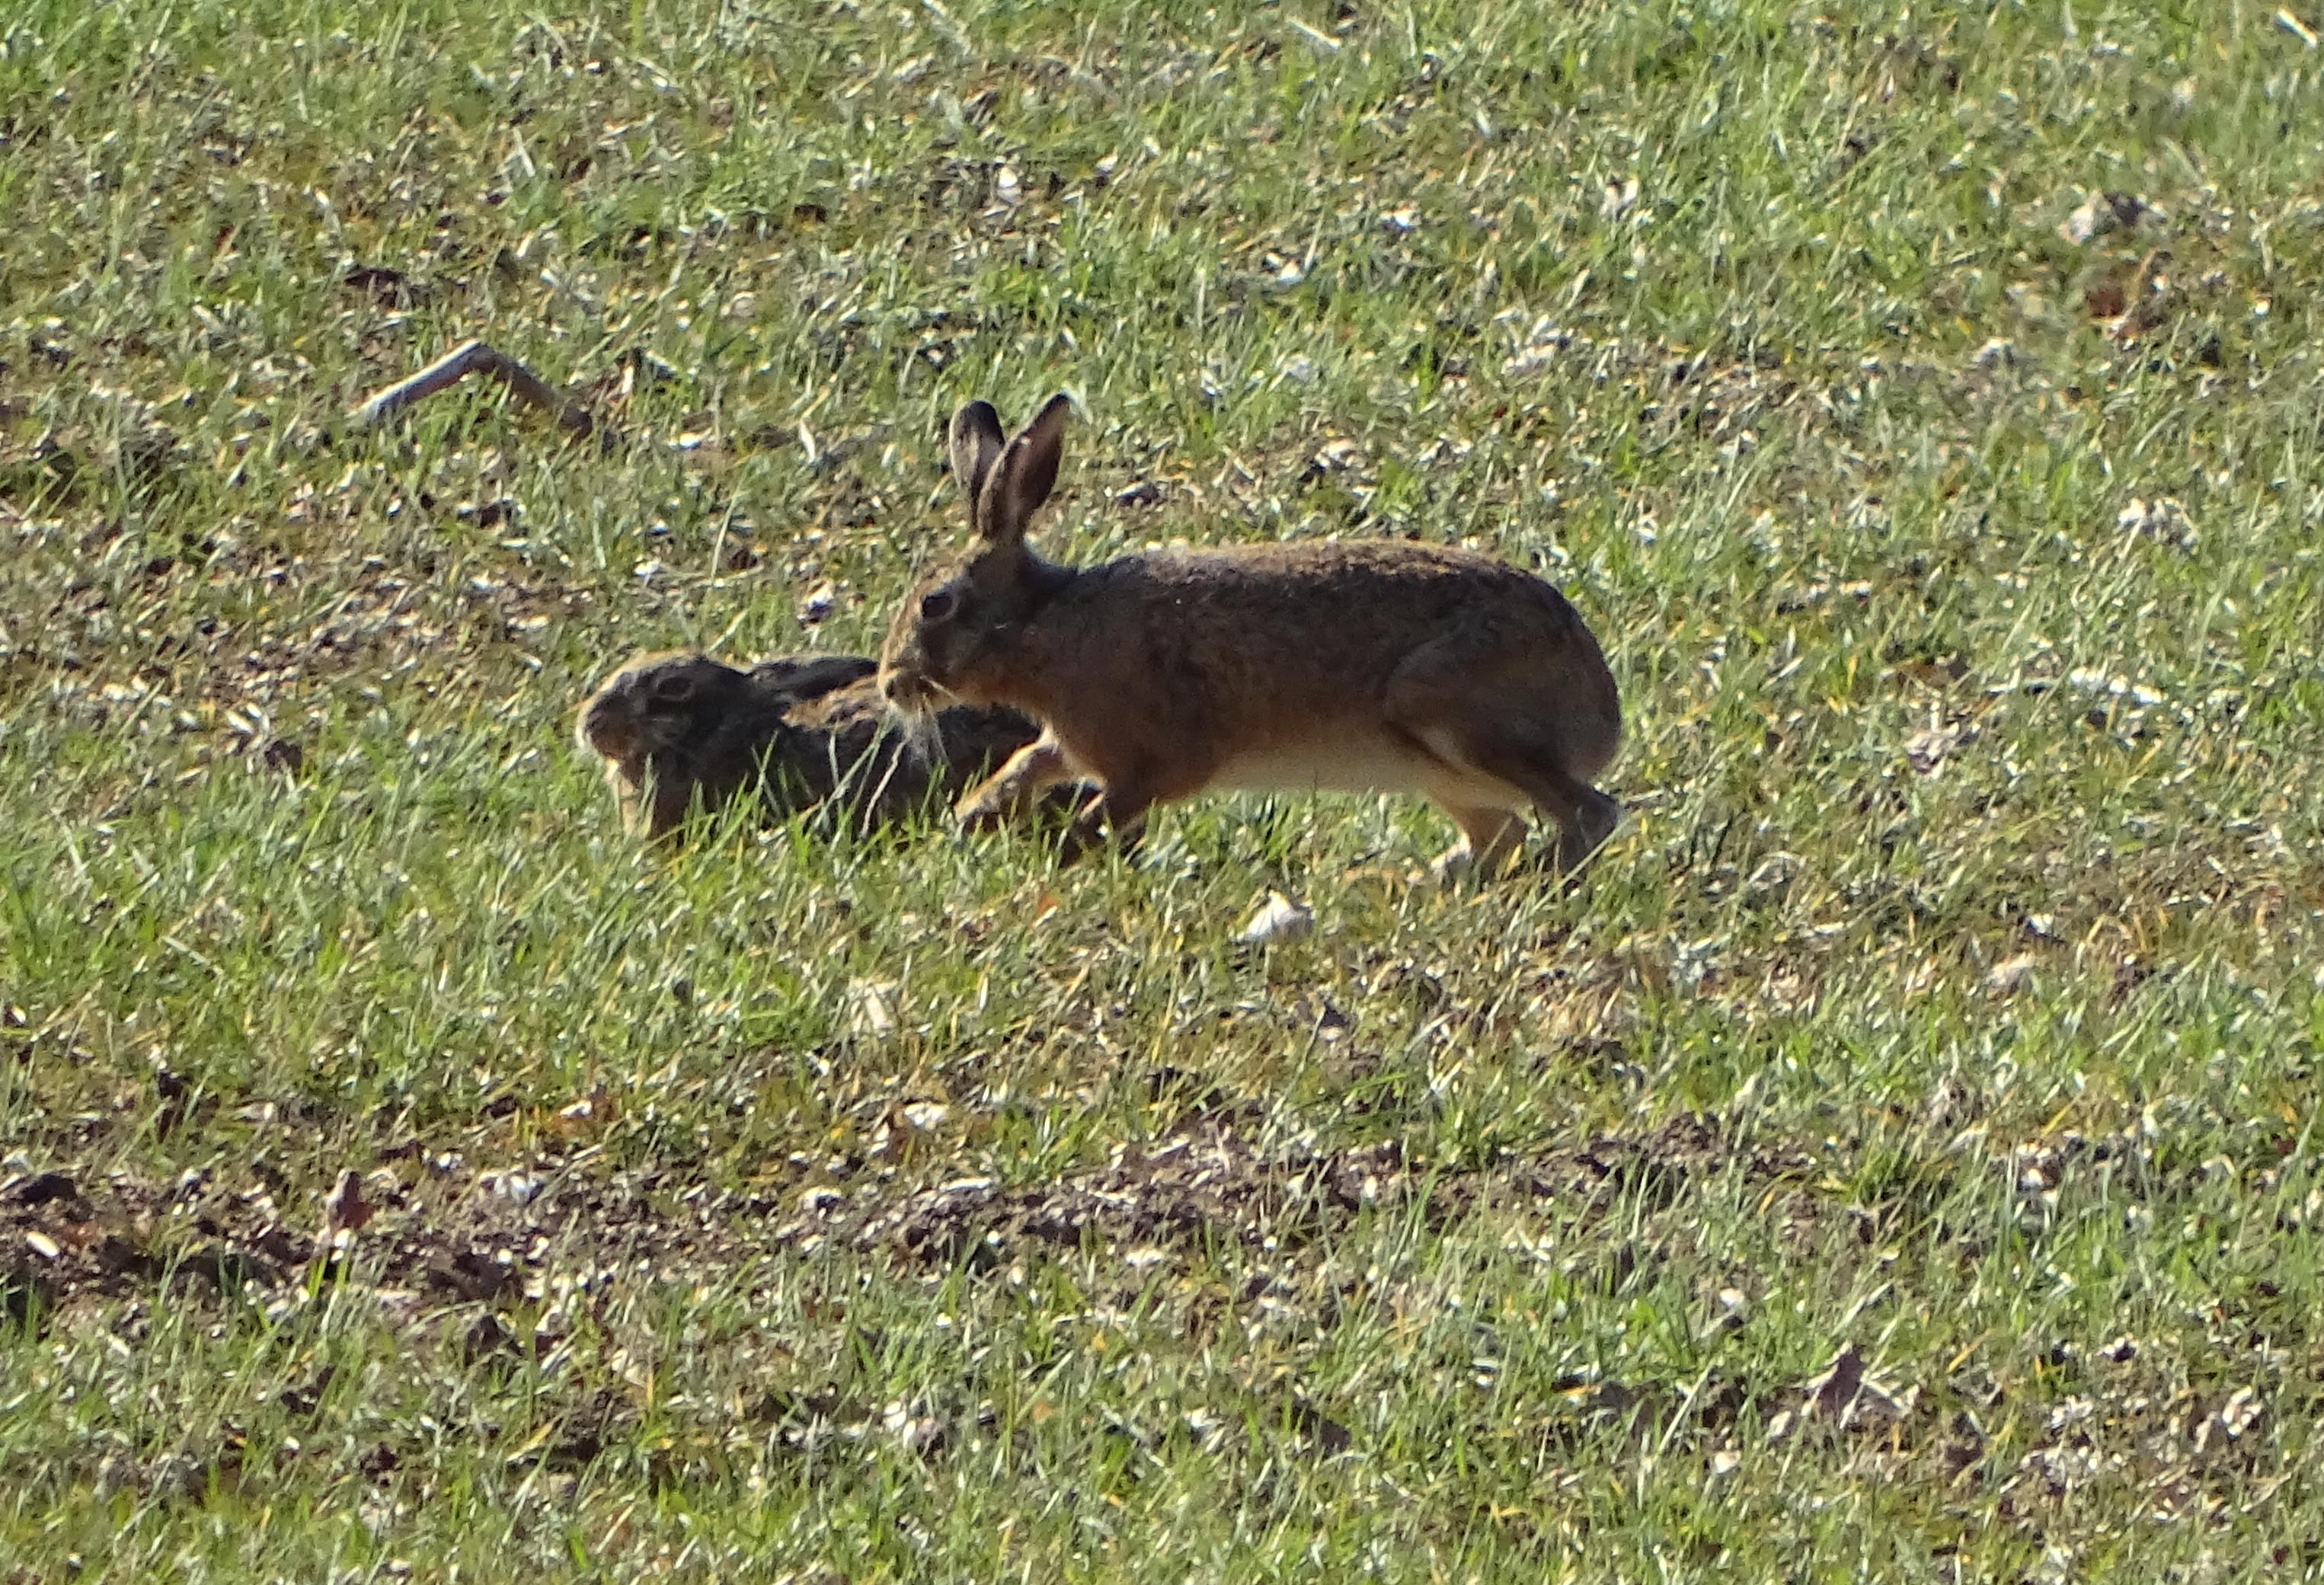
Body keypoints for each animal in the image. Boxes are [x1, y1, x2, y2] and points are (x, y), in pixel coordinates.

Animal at [877, 394, 1623, 879]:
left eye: (935, 604)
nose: (889, 685)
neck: (1043, 624)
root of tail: (1601, 714)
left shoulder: (1163, 759)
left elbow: (1108, 807)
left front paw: (1069, 851)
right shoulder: (1068, 744)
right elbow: (1022, 768)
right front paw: (968, 819)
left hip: (1449, 714)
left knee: (1588, 813)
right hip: (1441, 774)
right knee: (1503, 831)